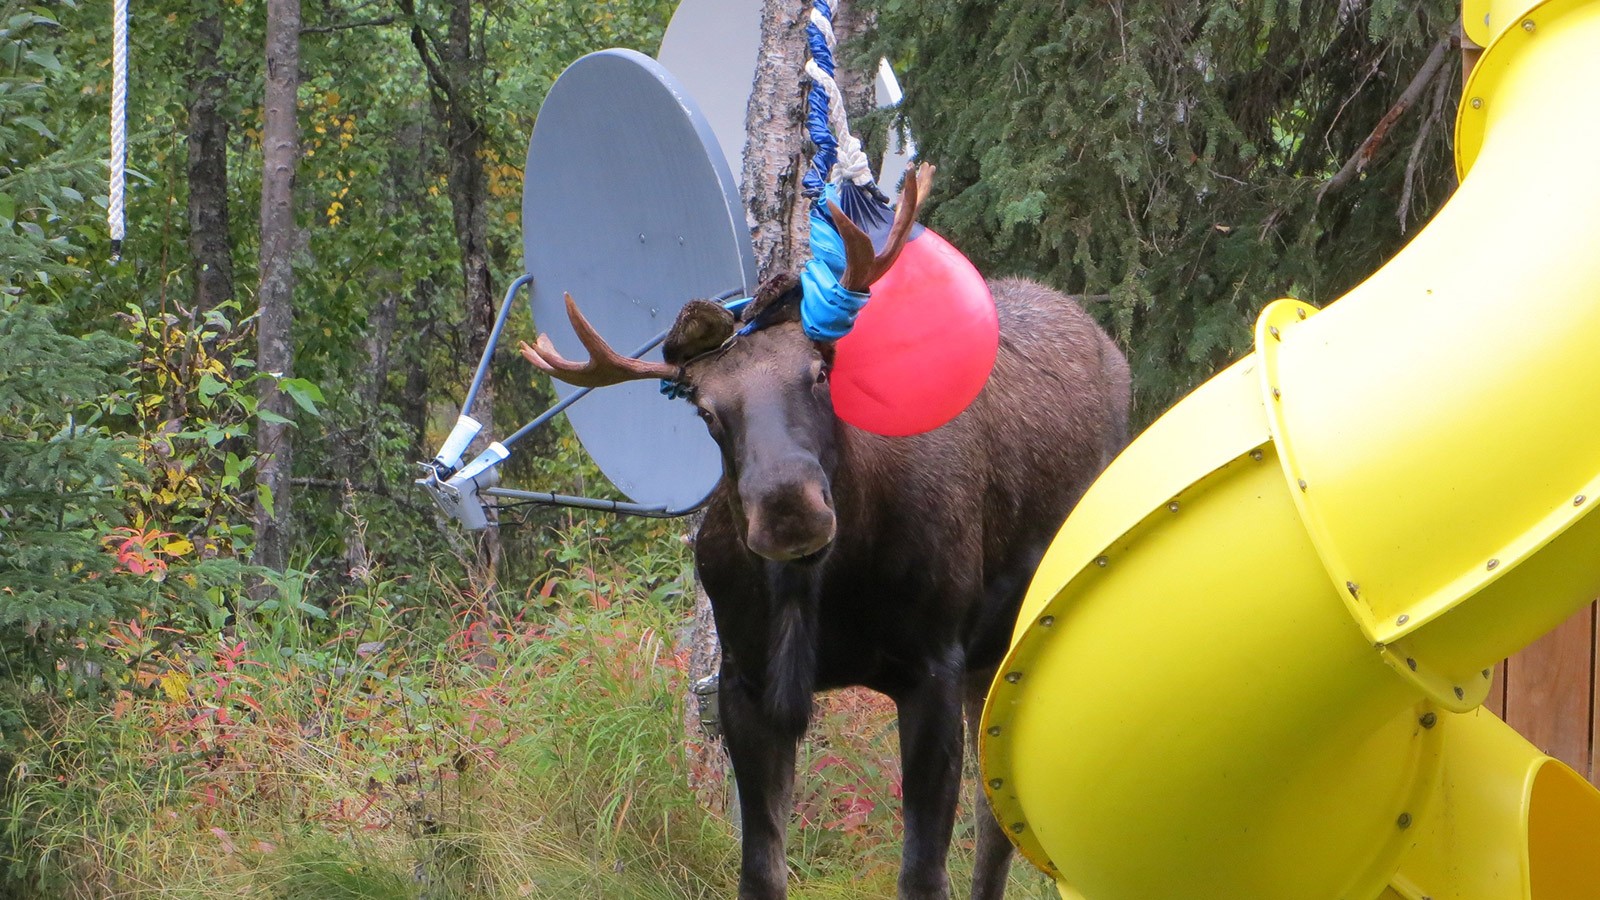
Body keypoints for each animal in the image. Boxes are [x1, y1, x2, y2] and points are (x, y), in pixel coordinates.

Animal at [520, 166, 1131, 900]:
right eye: (706, 408)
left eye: (818, 372)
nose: (789, 507)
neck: (813, 593)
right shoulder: (746, 685)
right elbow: (761, 871)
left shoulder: (934, 664)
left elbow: (923, 873)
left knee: (1004, 823)